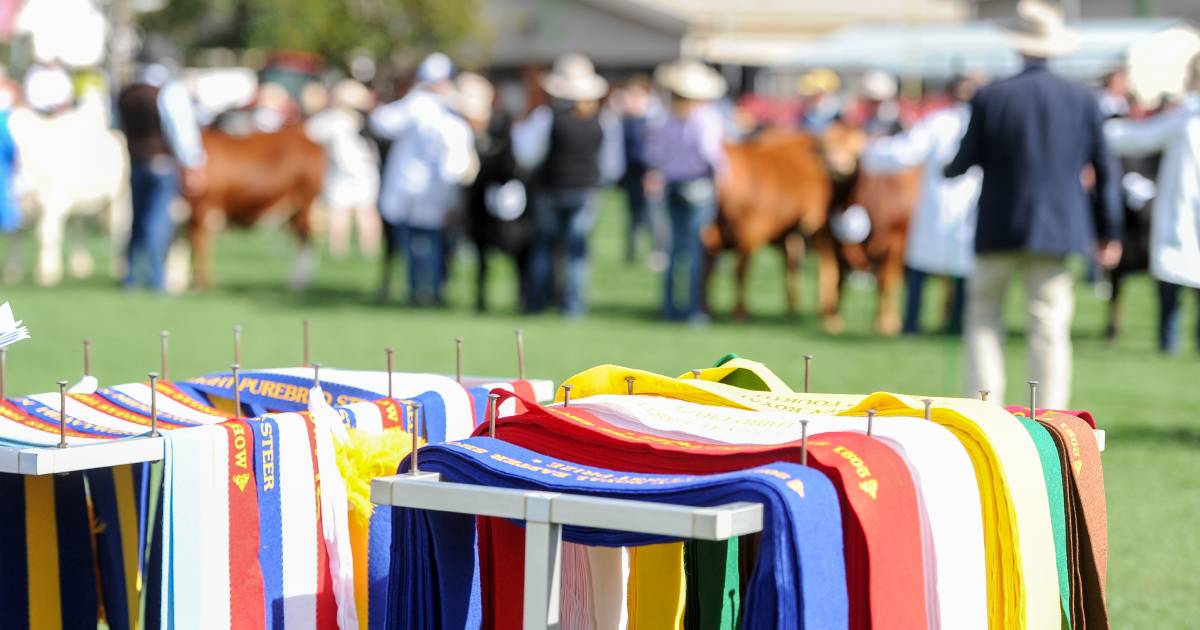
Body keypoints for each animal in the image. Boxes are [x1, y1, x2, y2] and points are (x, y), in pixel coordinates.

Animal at [8, 93, 131, 284]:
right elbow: (14, 233)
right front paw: (13, 271)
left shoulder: (54, 202)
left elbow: (45, 233)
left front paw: (47, 274)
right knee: (78, 225)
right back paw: (80, 266)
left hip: (120, 196)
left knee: (119, 228)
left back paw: (119, 267)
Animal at [181, 127, 324, 290]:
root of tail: (309, 140)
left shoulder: (201, 209)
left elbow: (200, 246)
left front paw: (200, 285)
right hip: (293, 211)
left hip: (305, 205)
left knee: (305, 240)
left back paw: (298, 283)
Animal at [705, 130, 840, 331]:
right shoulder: (712, 240)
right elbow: (708, 272)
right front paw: (707, 310)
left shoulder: (748, 235)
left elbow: (739, 272)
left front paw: (738, 313)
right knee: (800, 266)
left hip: (821, 235)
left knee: (828, 267)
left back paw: (828, 317)